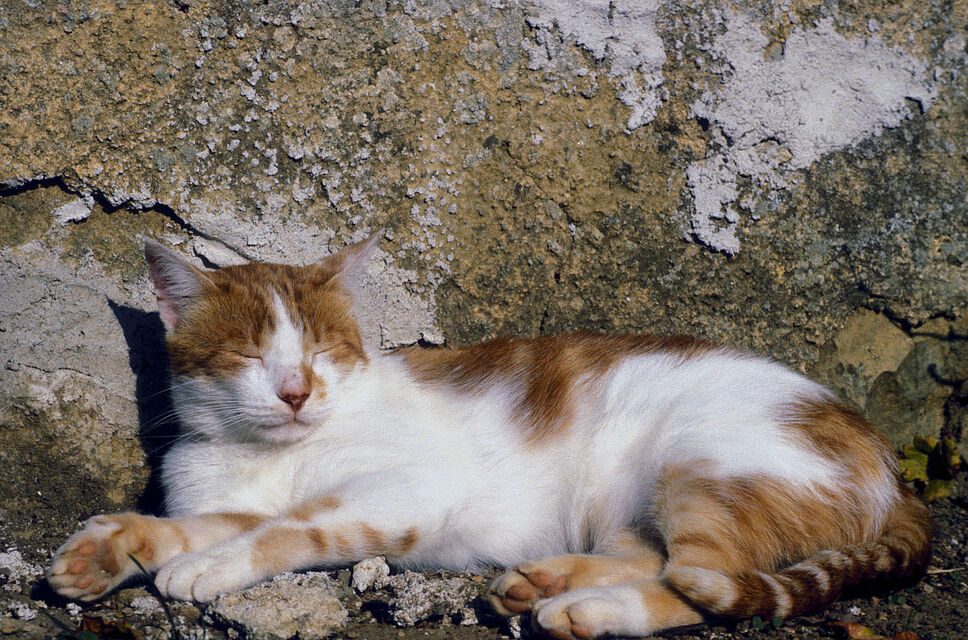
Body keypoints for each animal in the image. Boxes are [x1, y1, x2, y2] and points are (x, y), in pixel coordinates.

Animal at [48, 234, 932, 639]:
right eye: (249, 356)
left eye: (325, 351)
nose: (296, 392)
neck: (269, 451)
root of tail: (888, 463)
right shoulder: (231, 496)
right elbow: (205, 522)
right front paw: (112, 546)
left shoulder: (402, 491)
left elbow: (289, 527)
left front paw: (210, 566)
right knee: (654, 555)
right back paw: (542, 583)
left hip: (702, 457)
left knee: (702, 580)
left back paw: (591, 609)